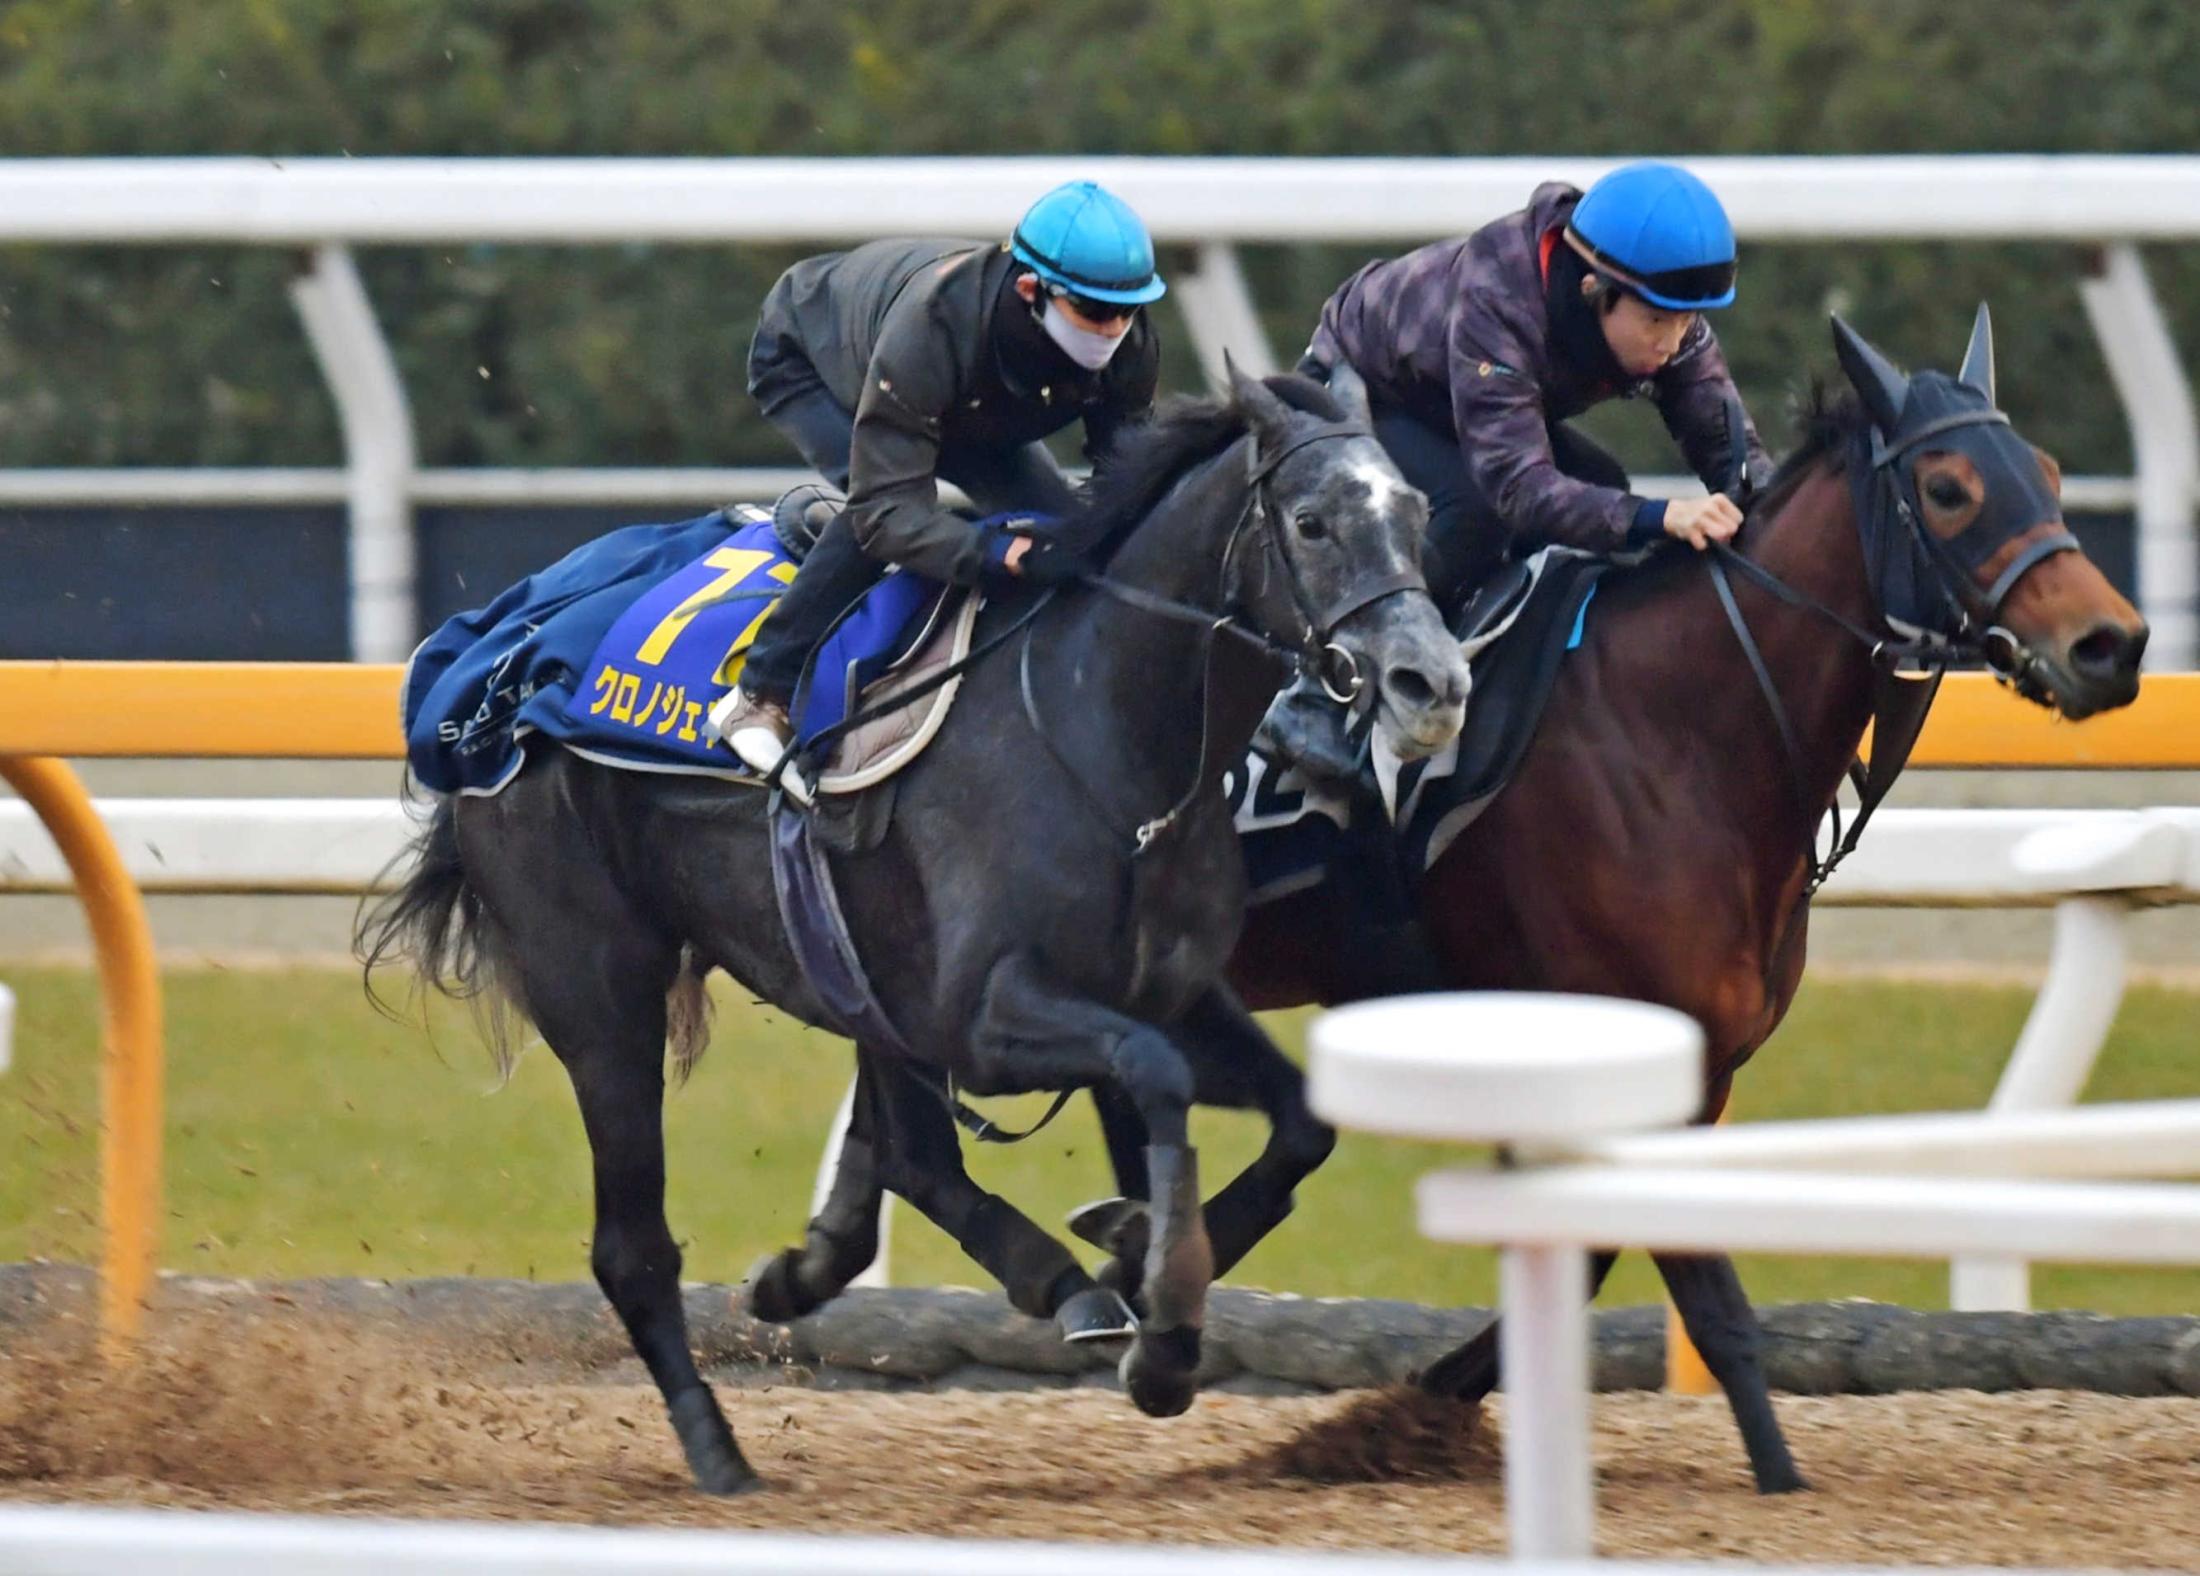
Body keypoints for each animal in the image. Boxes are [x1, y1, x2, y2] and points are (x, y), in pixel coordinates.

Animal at [360, 365, 1460, 1487]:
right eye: (1311, 521)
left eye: (1418, 514)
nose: (1433, 684)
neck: (1106, 732)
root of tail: (491, 669)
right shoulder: (983, 1016)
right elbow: (1152, 1078)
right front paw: (1156, 1319)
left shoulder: (1167, 989)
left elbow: (1299, 1120)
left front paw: (1135, 1264)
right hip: (600, 991)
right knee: (634, 1244)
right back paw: (721, 1447)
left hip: (853, 975)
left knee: (913, 1159)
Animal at [787, 308, 2147, 1487]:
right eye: (1949, 488)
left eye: (2047, 470)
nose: (2111, 645)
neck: (1685, 728)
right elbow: (1695, 1284)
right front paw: (1775, 1476)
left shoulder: (1685, 1064)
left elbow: (1595, 1243)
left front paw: (1401, 1401)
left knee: (893, 1102)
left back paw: (830, 1259)